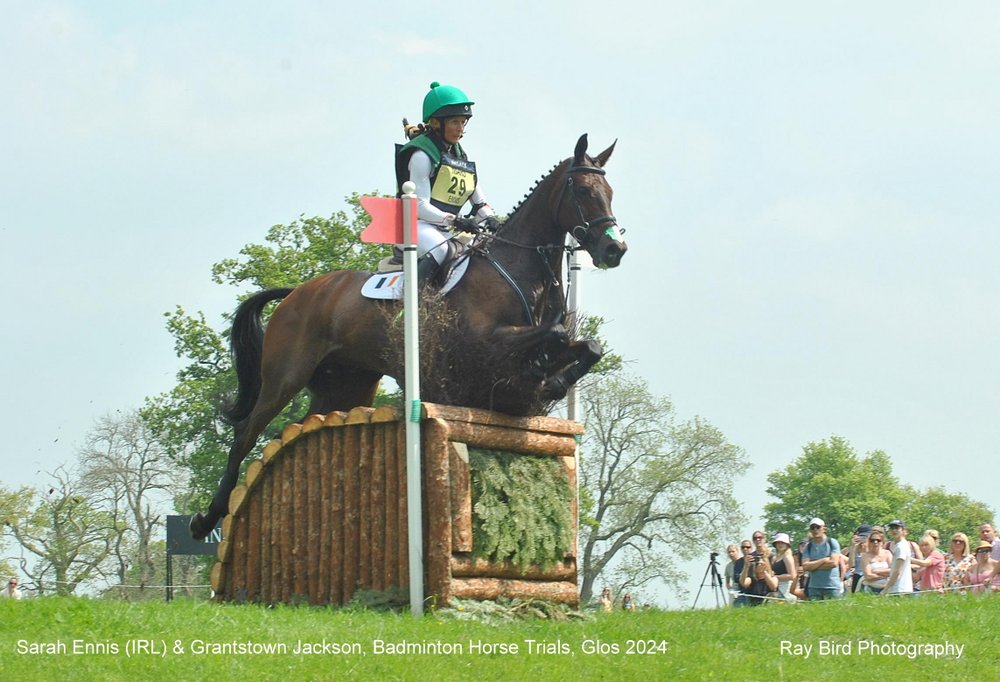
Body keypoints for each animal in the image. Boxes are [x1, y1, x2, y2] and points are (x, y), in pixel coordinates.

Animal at [190, 133, 627, 539]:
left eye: (609, 193)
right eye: (583, 192)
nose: (614, 249)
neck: (518, 266)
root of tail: (297, 291)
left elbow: (588, 345)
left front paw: (553, 380)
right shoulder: (484, 341)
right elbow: (555, 333)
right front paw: (546, 376)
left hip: (346, 387)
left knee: (295, 429)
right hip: (284, 376)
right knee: (246, 434)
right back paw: (207, 518)